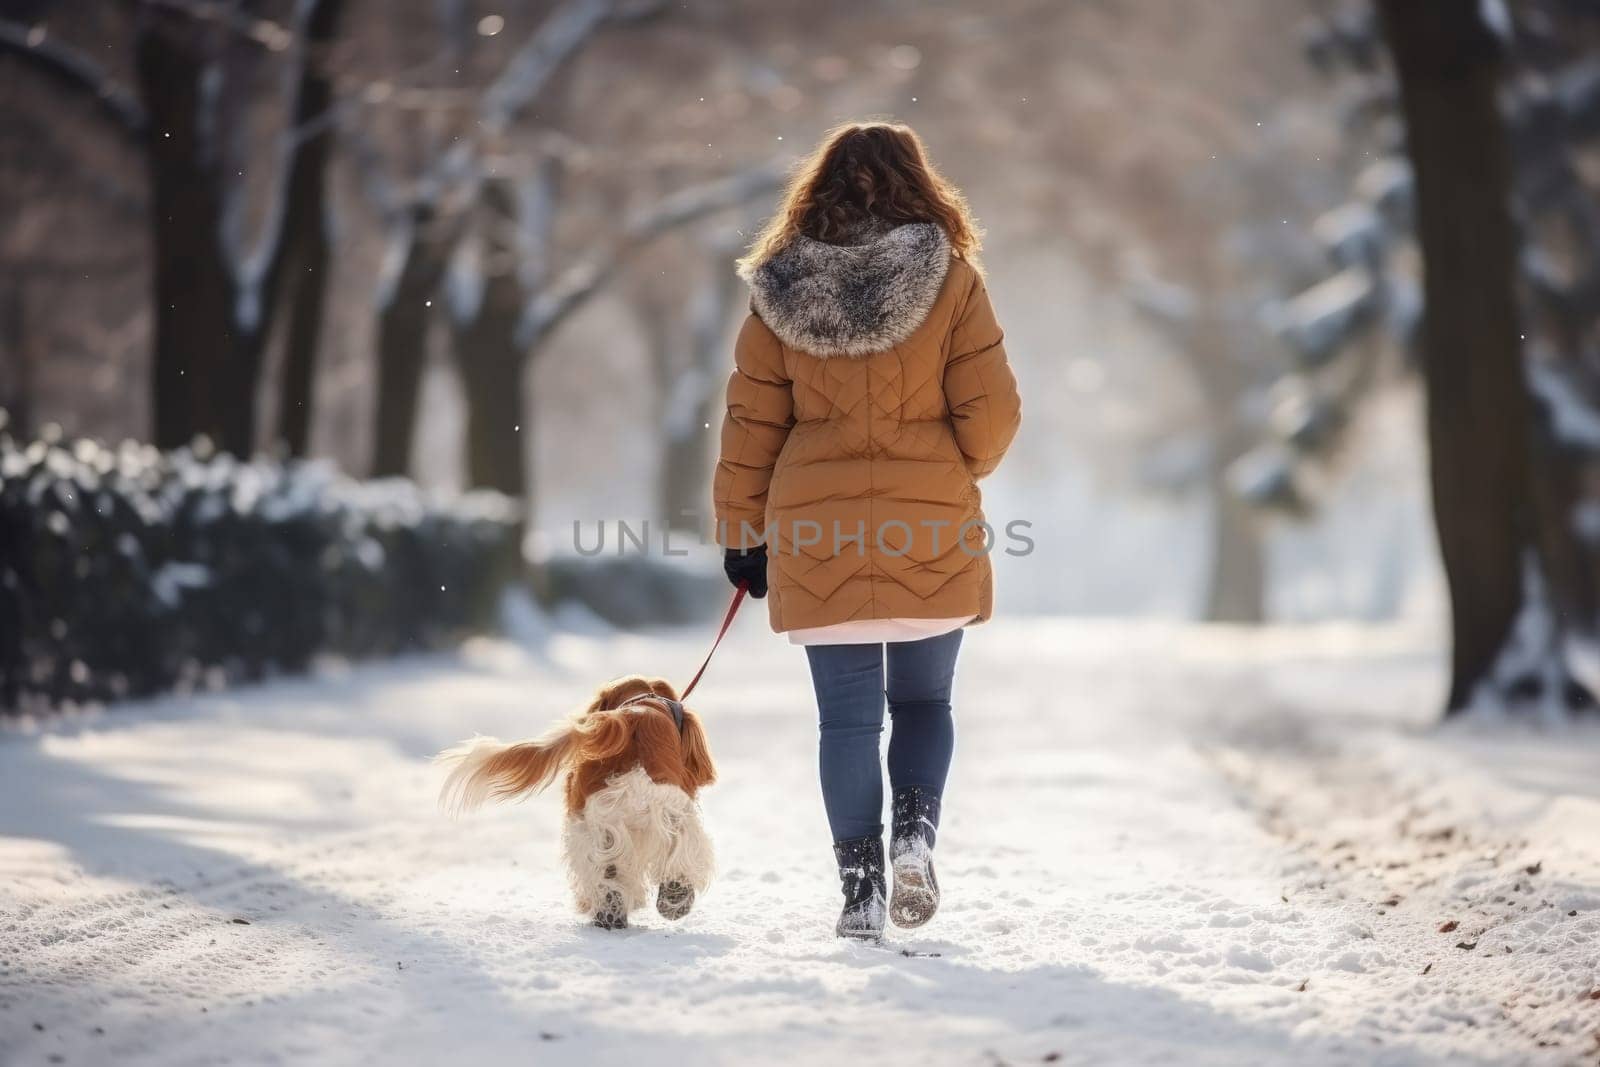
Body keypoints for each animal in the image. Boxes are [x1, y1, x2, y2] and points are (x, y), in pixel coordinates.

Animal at [435, 681, 716, 927]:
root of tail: (631, 719)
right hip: (647, 817)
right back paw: (666, 902)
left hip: (601, 823)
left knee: (609, 873)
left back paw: (616, 913)